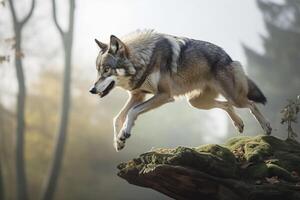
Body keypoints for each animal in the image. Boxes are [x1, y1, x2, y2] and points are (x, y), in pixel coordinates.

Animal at [89, 29, 272, 151]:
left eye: (106, 70)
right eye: (98, 70)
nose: (91, 90)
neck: (145, 59)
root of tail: (229, 57)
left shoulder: (164, 95)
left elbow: (132, 112)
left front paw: (124, 134)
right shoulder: (138, 95)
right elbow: (118, 118)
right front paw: (118, 141)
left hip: (234, 98)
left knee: (251, 105)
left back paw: (267, 127)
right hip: (196, 102)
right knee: (226, 105)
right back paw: (239, 123)